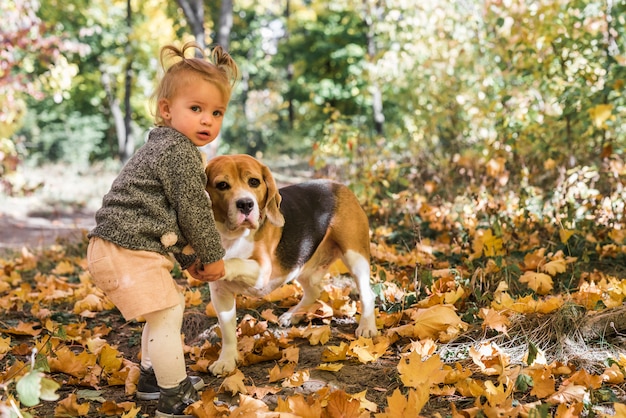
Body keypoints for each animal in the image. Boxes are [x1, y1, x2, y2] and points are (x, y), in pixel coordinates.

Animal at [207, 153, 378, 376]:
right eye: (222, 185)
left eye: (254, 182)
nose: (245, 204)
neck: (232, 237)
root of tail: (338, 185)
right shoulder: (220, 293)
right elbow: (227, 330)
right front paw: (226, 360)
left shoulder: (262, 272)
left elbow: (234, 261)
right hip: (301, 263)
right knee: (314, 290)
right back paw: (293, 315)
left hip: (354, 255)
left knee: (367, 293)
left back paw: (367, 325)